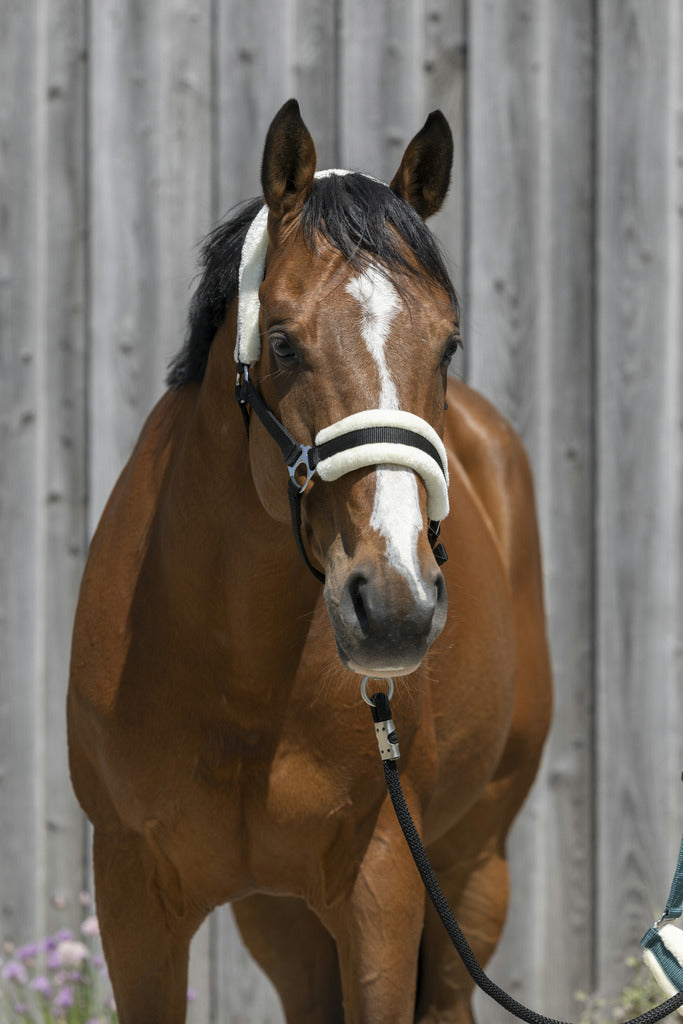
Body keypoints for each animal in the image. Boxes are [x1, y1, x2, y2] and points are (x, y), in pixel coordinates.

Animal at [66, 97, 552, 1024]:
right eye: (284, 343)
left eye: (448, 345)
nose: (394, 608)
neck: (238, 679)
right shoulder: (134, 902)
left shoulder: (384, 890)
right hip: (280, 917)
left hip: (471, 871)